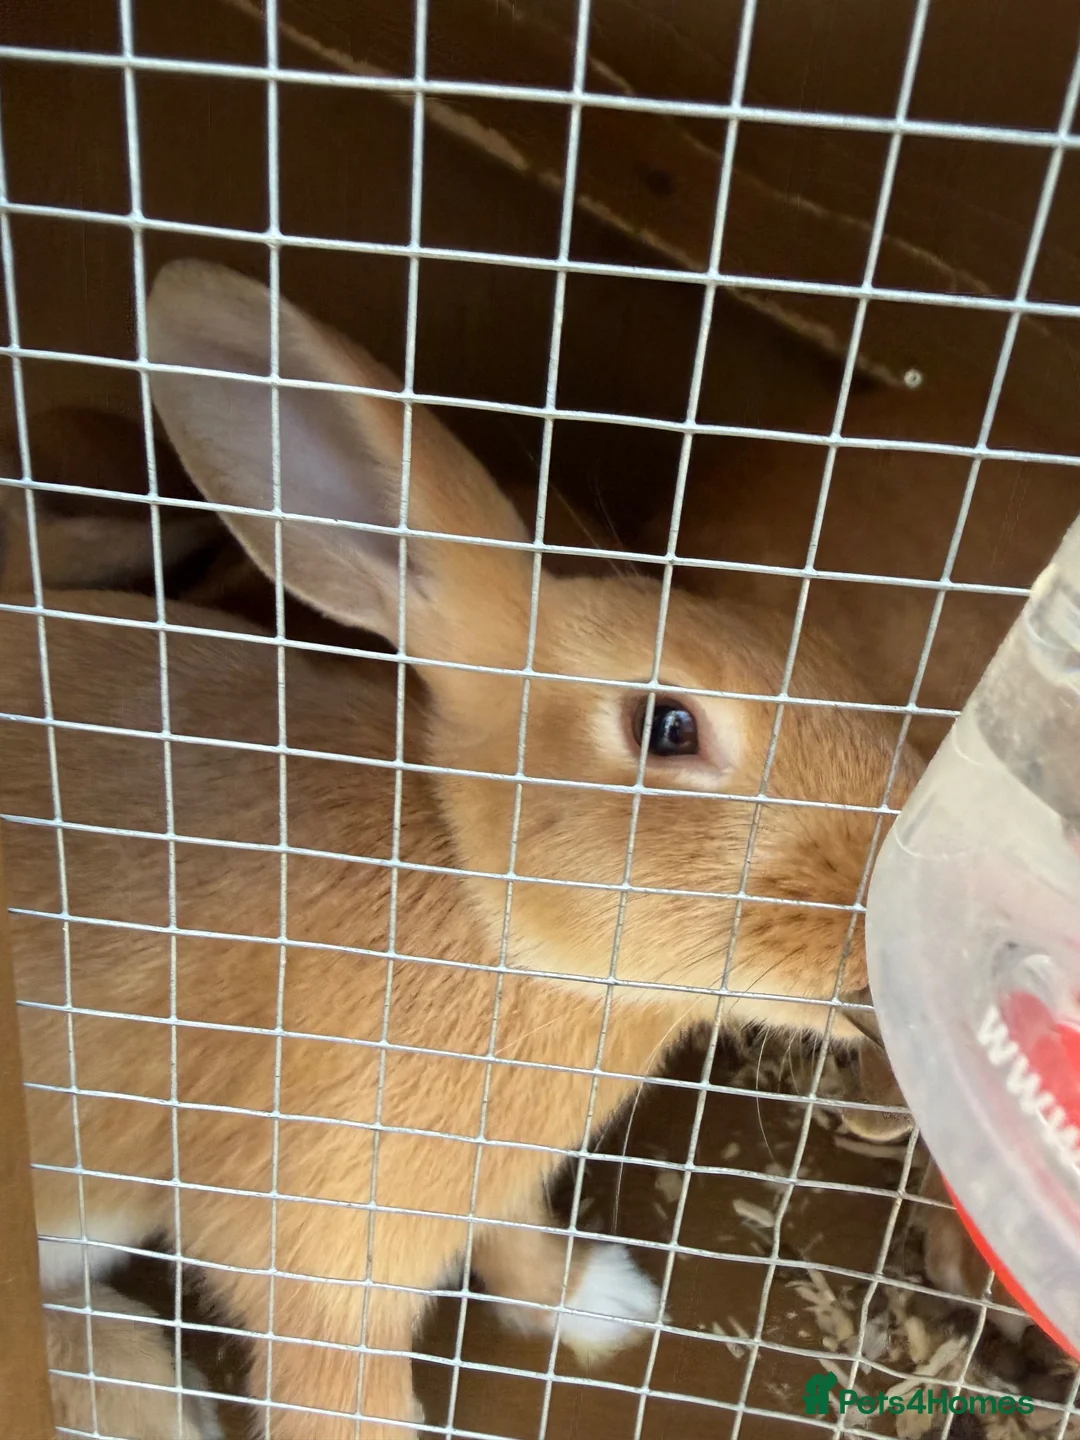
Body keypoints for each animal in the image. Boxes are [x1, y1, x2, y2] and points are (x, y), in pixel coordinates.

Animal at [1, 260, 926, 1438]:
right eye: (669, 727)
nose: (888, 923)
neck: (488, 912)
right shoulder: (323, 1259)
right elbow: (342, 1397)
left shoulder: (494, 1189)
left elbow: (518, 1239)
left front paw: (604, 1304)